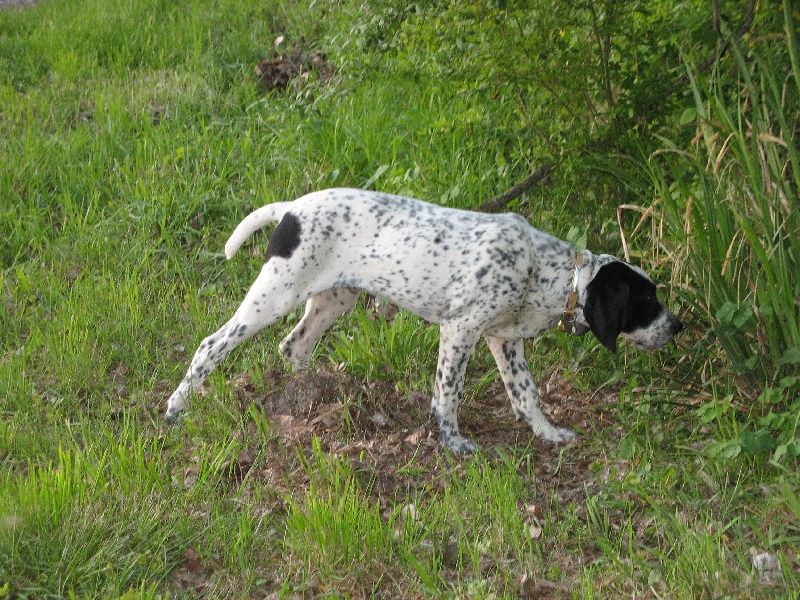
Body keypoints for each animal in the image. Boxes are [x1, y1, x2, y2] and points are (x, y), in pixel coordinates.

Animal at [167, 188, 680, 450]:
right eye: (646, 300)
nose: (679, 327)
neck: (544, 267)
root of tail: (292, 209)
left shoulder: (503, 340)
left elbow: (526, 395)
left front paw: (548, 433)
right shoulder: (461, 330)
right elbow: (448, 395)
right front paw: (453, 443)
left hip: (334, 300)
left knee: (294, 346)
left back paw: (317, 393)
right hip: (274, 296)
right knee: (210, 346)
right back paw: (176, 408)